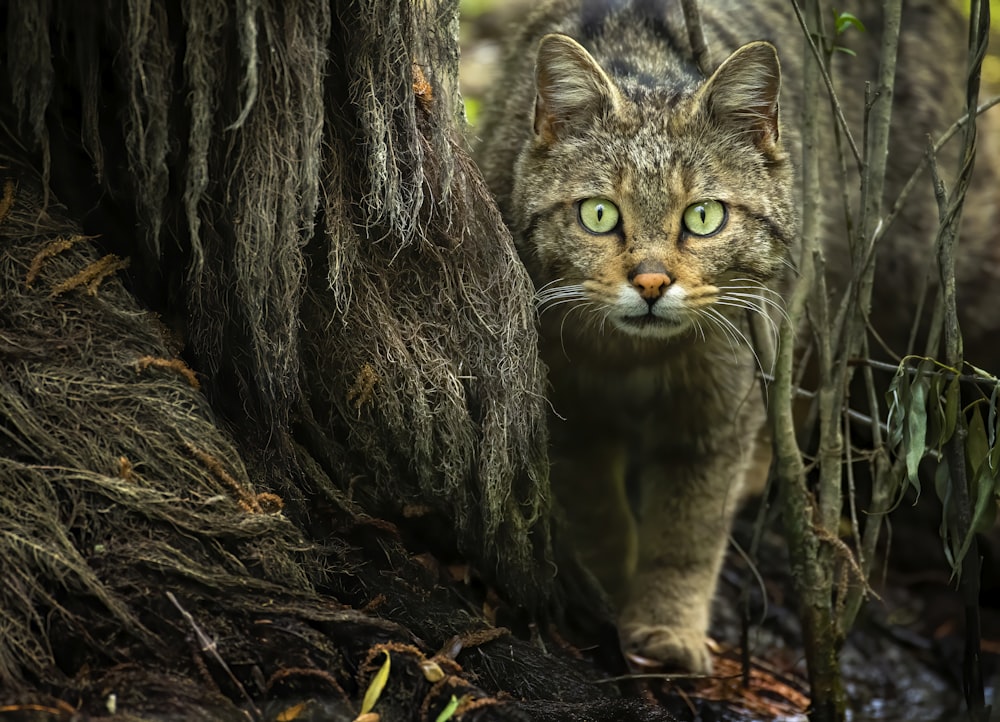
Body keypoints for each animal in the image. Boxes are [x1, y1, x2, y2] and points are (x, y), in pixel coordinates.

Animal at [472, 0, 988, 672]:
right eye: (599, 214)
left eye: (704, 217)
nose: (651, 282)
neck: (630, 358)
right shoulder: (569, 414)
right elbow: (600, 514)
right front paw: (612, 590)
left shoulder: (718, 407)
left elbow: (688, 531)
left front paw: (667, 625)